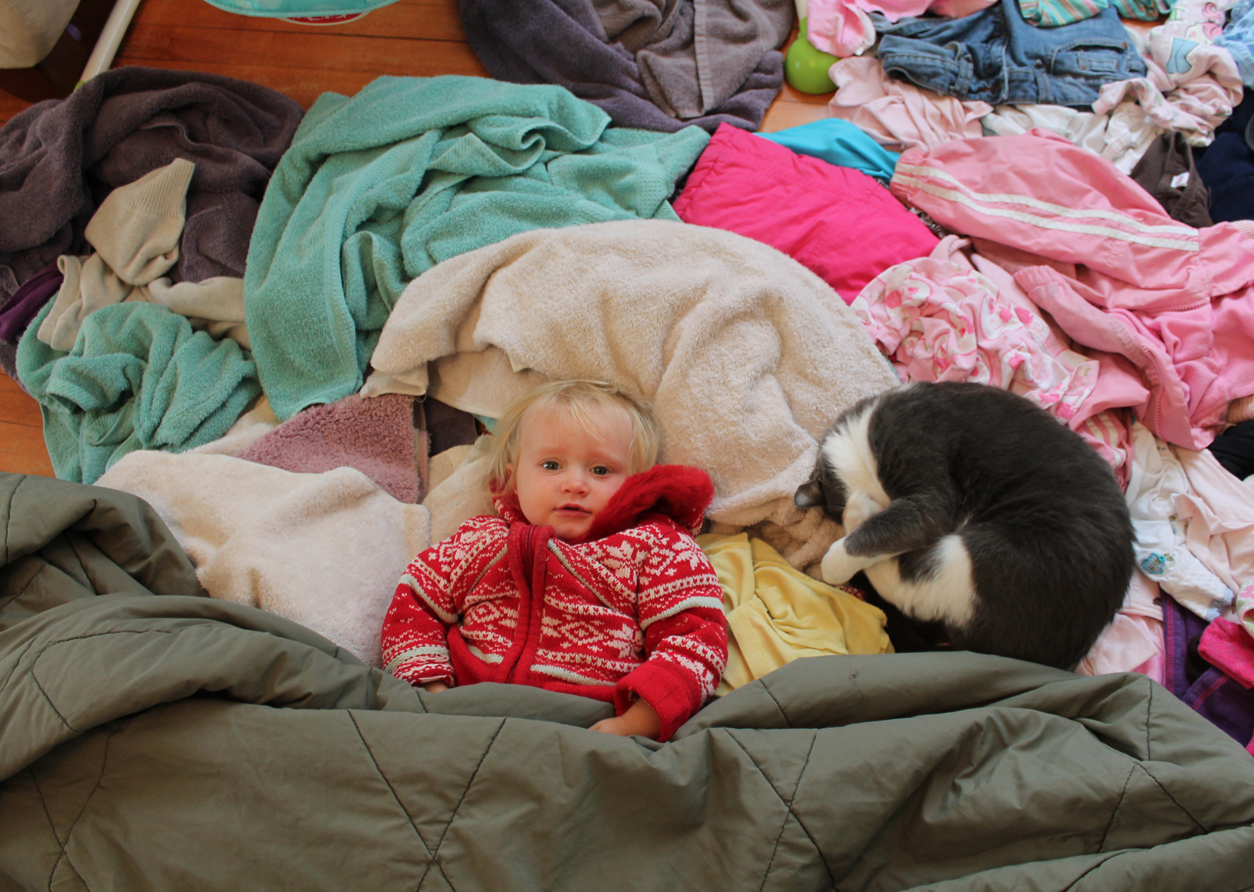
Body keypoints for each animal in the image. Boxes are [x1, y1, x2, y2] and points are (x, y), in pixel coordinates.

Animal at [794, 381, 1135, 671]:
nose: (844, 511)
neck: (860, 443)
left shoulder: (926, 486)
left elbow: (867, 541)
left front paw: (838, 554)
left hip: (992, 557)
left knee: (905, 583)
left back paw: (857, 517)